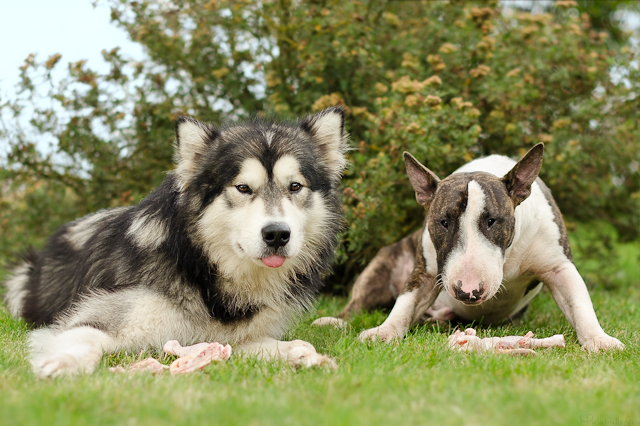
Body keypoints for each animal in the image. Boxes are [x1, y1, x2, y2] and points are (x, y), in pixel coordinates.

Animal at [2, 105, 348, 376]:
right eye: (243, 188)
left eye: (295, 186)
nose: (277, 234)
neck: (203, 272)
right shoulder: (97, 318)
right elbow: (85, 338)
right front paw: (64, 363)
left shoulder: (225, 338)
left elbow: (288, 343)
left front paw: (304, 355)